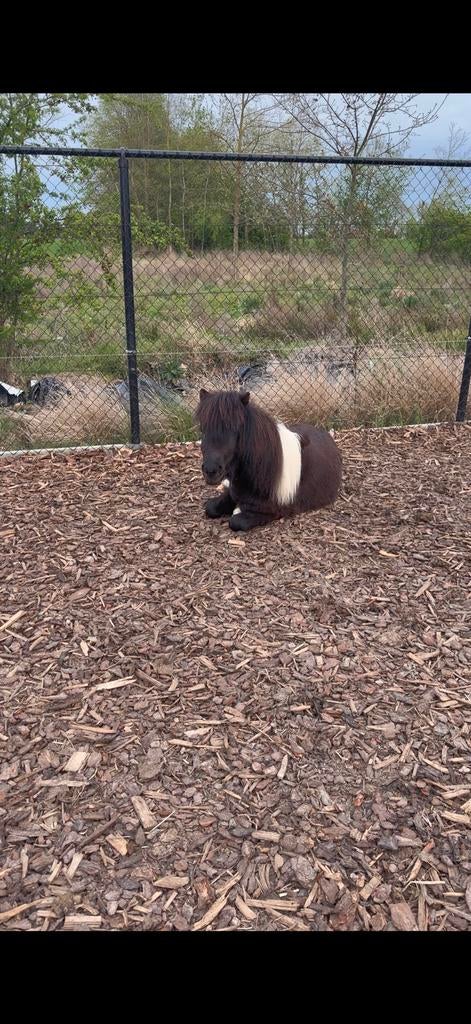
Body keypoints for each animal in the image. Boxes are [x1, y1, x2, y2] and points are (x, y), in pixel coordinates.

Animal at [196, 388, 342, 532]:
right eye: (203, 429)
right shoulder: (233, 494)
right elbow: (210, 507)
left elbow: (236, 522)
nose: (210, 470)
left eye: (236, 429)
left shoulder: (272, 511)